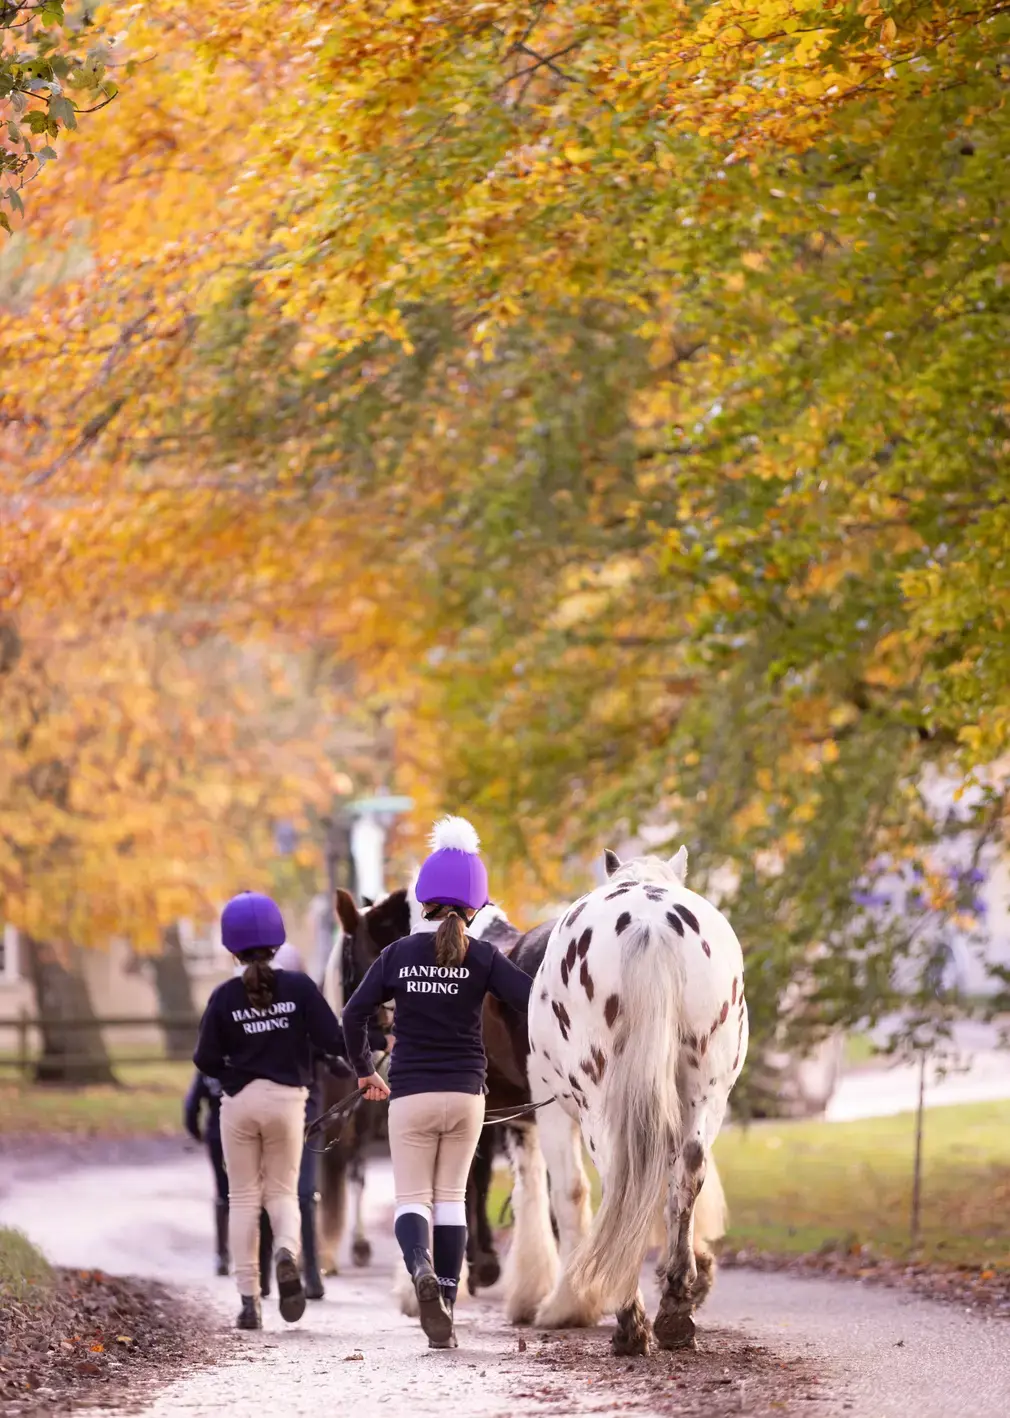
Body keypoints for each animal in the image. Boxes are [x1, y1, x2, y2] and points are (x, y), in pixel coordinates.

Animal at [525, 845, 747, 1356]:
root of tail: (650, 923)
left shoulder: (552, 1110)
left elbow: (573, 1195)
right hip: (706, 1089)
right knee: (687, 1168)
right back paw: (675, 1310)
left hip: (597, 1102)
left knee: (619, 1180)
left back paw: (631, 1320)